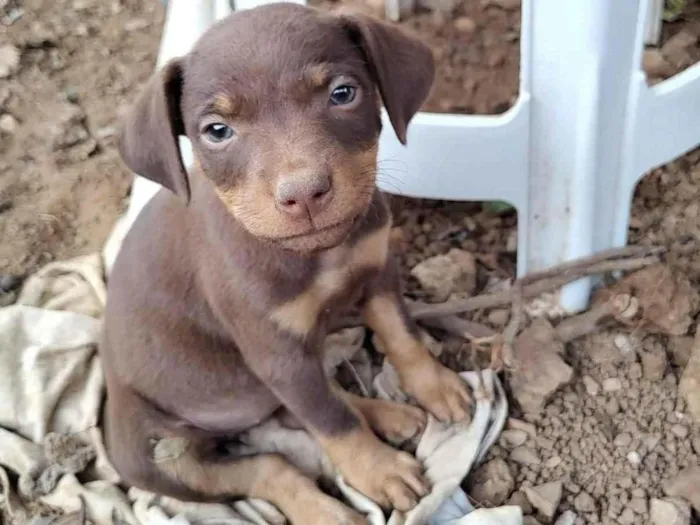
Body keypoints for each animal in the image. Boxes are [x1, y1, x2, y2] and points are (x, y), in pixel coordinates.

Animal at [102, 3, 470, 520]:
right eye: (217, 131)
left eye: (343, 93)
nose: (304, 194)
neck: (318, 254)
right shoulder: (276, 353)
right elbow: (331, 421)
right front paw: (378, 471)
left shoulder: (378, 272)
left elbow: (402, 335)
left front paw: (434, 384)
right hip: (160, 456)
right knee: (272, 463)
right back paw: (325, 509)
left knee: (298, 408)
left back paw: (387, 414)